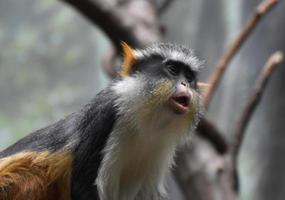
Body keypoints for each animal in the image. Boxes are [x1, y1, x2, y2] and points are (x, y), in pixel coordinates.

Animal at [0, 41, 202, 199]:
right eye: (173, 70)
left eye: (189, 77)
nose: (185, 84)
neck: (146, 119)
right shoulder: (107, 113)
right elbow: (82, 184)